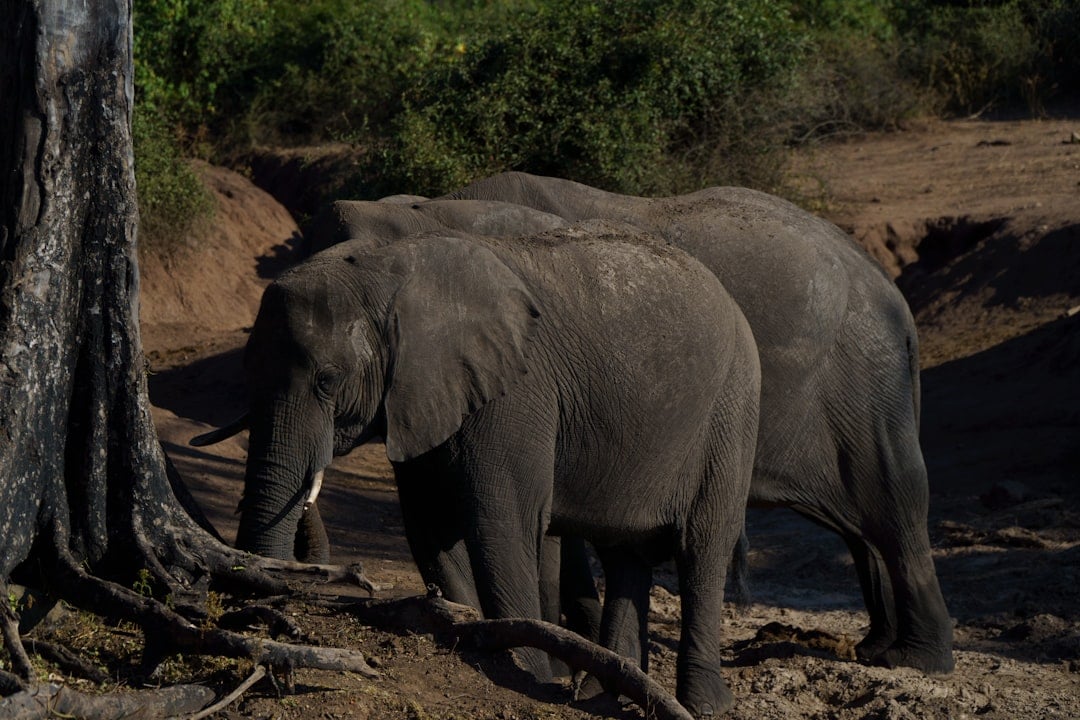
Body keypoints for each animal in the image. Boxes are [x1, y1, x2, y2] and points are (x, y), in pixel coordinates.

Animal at [226, 224, 761, 715]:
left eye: (328, 380)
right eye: (248, 368)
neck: (389, 268)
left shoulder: (516, 392)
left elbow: (500, 528)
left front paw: (526, 669)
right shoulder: (424, 398)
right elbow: (431, 530)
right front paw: (470, 630)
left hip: (731, 414)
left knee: (702, 549)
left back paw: (702, 706)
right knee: (624, 555)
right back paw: (604, 694)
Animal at [437, 172, 955, 676]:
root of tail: (891, 293)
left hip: (863, 377)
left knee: (892, 496)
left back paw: (915, 662)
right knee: (862, 521)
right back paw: (875, 648)